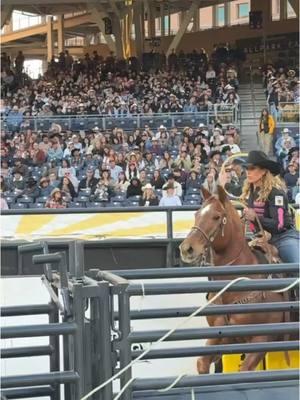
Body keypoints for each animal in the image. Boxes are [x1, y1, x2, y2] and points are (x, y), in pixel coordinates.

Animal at [179, 186, 290, 374]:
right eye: (196, 214)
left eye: (216, 216)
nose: (187, 248)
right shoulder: (223, 335)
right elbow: (202, 363)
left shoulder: (262, 339)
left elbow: (244, 370)